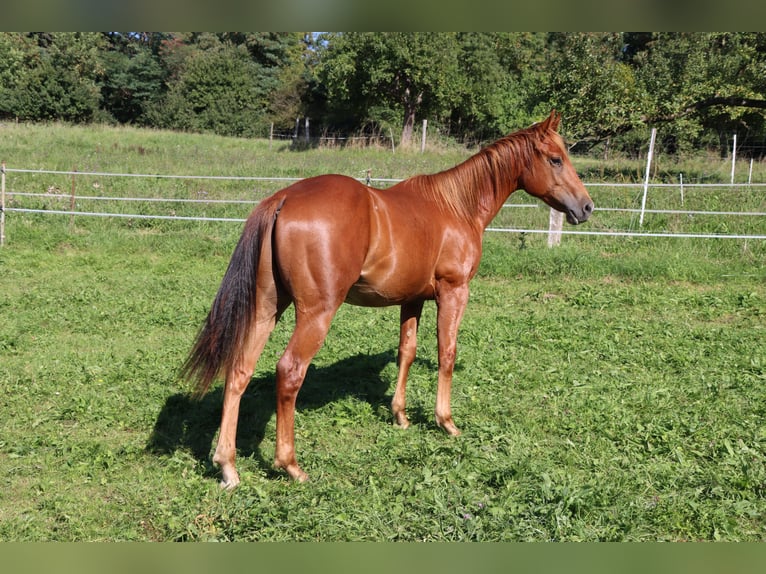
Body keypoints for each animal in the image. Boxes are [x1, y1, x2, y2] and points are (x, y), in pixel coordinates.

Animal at [184, 110, 592, 488]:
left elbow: (406, 352)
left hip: (267, 308)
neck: (456, 206)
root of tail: (283, 198)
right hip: (316, 313)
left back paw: (228, 466)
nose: (586, 207)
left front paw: (400, 416)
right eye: (555, 159)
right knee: (289, 372)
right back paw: (290, 465)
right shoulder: (453, 291)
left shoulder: (413, 300)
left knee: (239, 370)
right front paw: (446, 422)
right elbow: (447, 353)